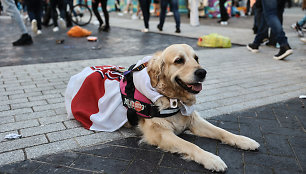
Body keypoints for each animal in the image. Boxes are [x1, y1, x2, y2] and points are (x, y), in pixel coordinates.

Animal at [133, 44, 260, 172]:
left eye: (196, 58)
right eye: (179, 60)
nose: (202, 72)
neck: (174, 99)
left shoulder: (194, 121)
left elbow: (221, 131)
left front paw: (243, 140)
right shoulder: (159, 133)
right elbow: (189, 144)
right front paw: (211, 158)